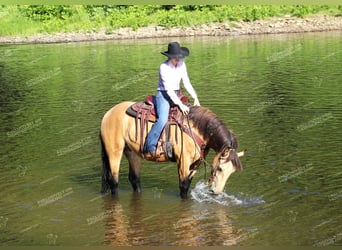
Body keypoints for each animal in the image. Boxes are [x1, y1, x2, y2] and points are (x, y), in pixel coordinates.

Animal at [99, 98, 246, 198]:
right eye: (220, 168)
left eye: (232, 171)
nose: (216, 192)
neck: (196, 129)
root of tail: (107, 114)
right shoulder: (183, 161)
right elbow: (183, 186)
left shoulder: (195, 163)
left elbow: (187, 184)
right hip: (114, 153)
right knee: (114, 181)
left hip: (132, 153)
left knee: (134, 179)